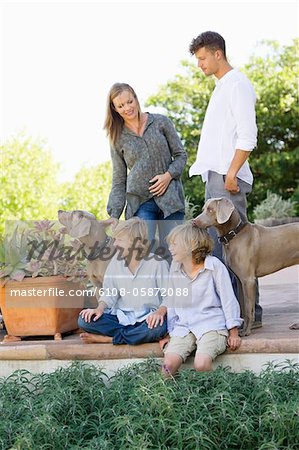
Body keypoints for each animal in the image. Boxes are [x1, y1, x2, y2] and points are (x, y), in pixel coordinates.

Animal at [193, 199, 298, 336]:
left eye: (210, 210)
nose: (194, 221)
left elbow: (248, 308)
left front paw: (247, 331)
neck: (235, 235)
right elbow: (242, 305)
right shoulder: (240, 280)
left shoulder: (248, 280)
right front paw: (242, 329)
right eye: (203, 209)